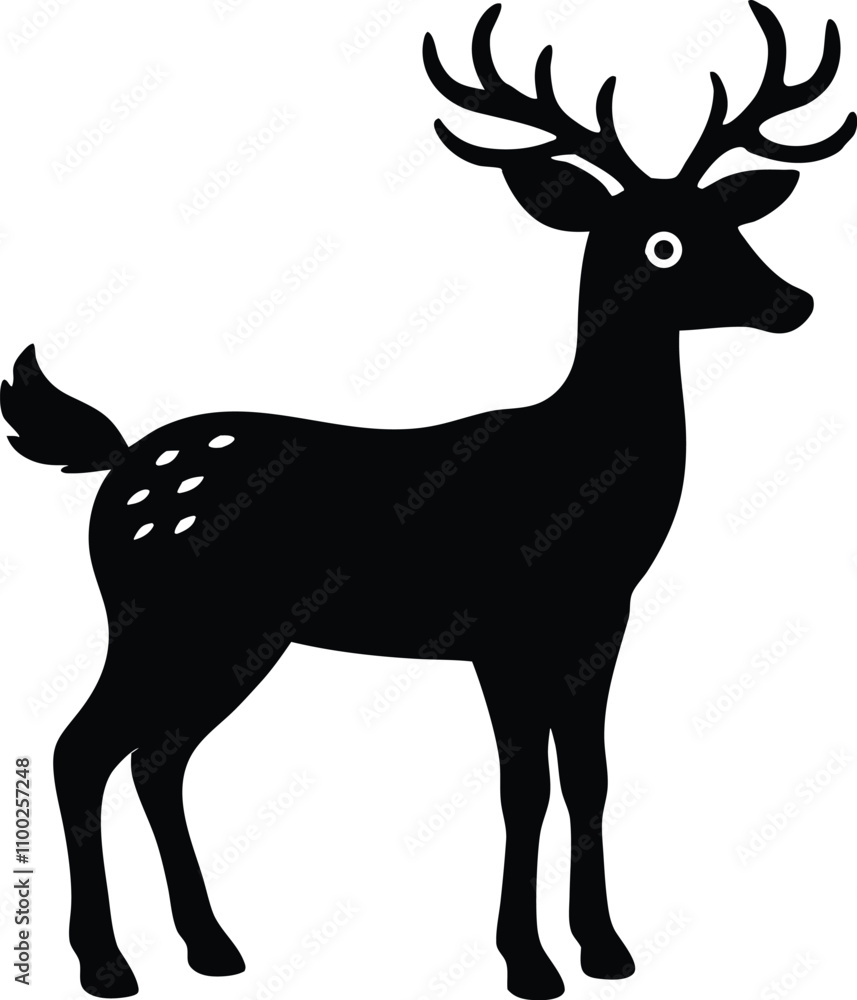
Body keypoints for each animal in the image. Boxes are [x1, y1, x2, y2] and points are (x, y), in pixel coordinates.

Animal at [2, 2, 853, 997]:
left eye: (726, 218)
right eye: (662, 243)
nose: (793, 301)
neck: (579, 477)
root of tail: (119, 461)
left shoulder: (599, 623)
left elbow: (590, 777)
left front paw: (605, 950)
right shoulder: (503, 628)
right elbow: (522, 787)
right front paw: (528, 962)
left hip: (234, 638)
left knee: (156, 757)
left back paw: (211, 947)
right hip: (153, 616)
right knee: (81, 749)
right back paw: (107, 963)